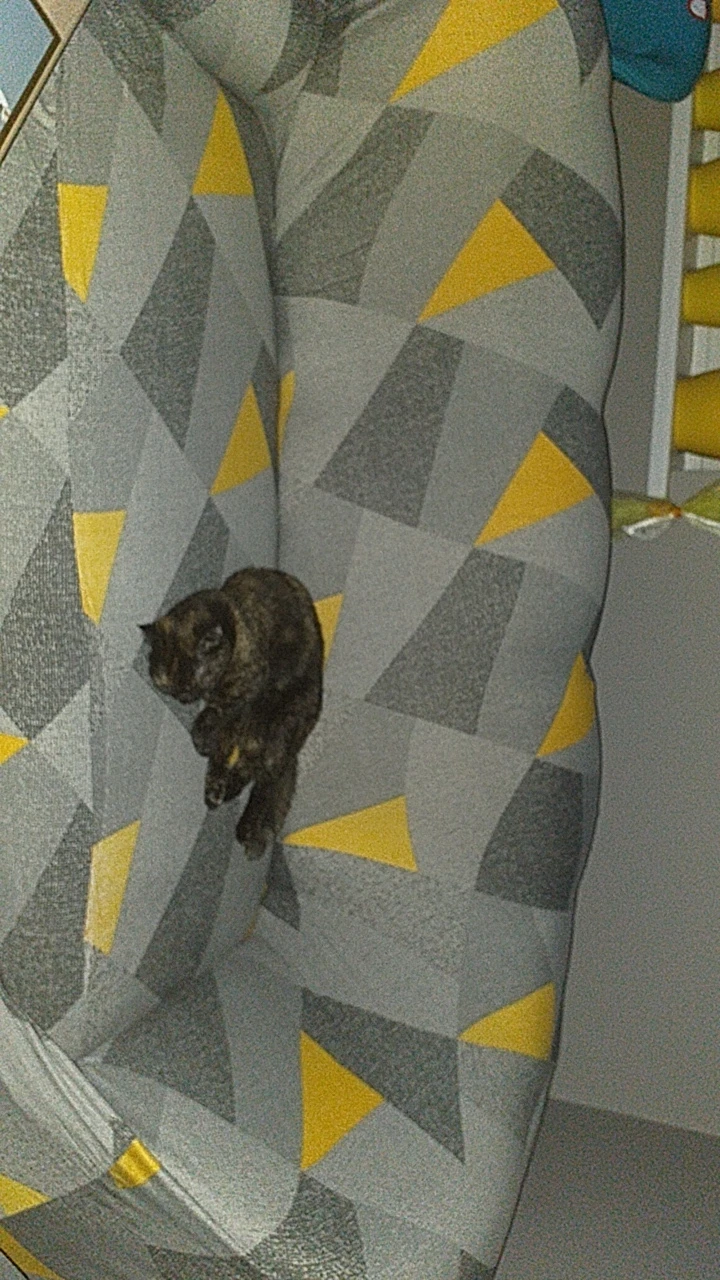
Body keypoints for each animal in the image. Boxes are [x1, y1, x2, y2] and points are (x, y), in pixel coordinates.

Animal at [141, 567, 323, 857]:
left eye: (194, 680)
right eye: (167, 682)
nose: (183, 697)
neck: (234, 618)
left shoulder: (246, 681)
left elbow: (214, 710)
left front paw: (201, 736)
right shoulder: (229, 718)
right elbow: (217, 742)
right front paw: (205, 747)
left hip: (278, 728)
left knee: (263, 776)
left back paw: (245, 823)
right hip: (249, 733)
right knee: (243, 764)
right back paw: (217, 792)